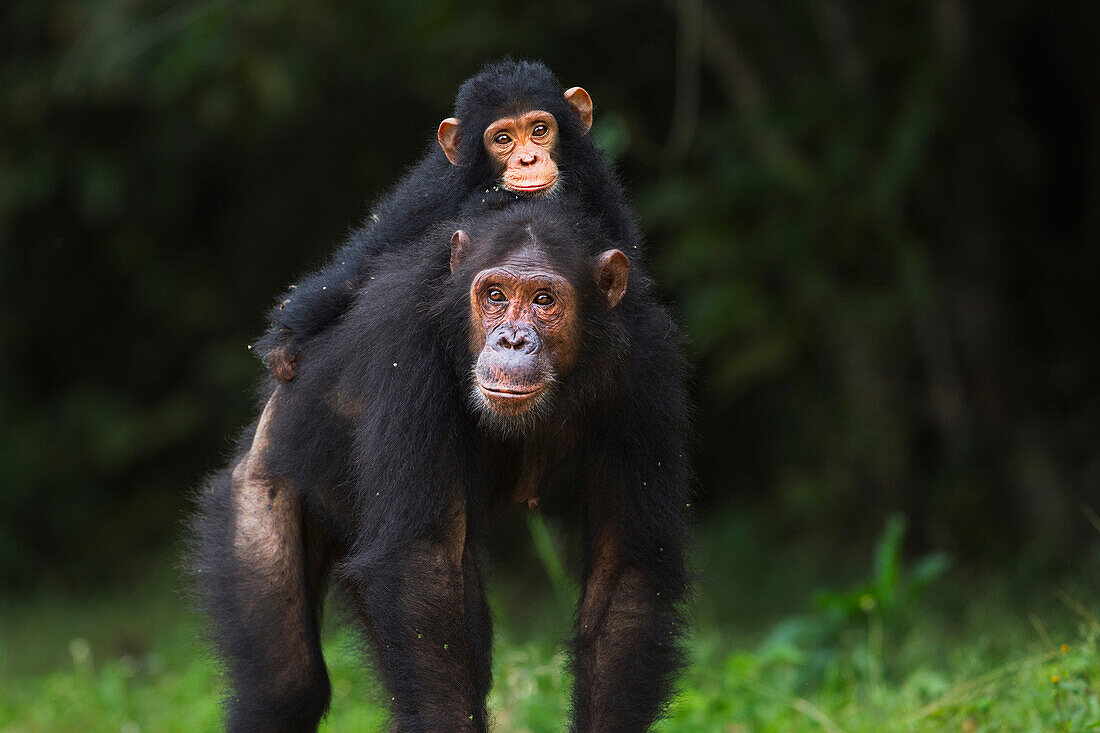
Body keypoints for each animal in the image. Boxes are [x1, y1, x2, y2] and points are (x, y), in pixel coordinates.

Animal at [188, 197, 686, 726]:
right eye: (495, 295)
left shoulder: (649, 368)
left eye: (544, 300)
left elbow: (625, 575)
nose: (512, 340)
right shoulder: (406, 345)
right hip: (254, 492)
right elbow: (419, 567)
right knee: (285, 685)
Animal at [260, 58, 642, 383]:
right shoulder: (429, 190)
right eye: (503, 139)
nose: (529, 159)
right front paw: (286, 340)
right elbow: (369, 259)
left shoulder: (599, 186)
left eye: (539, 130)